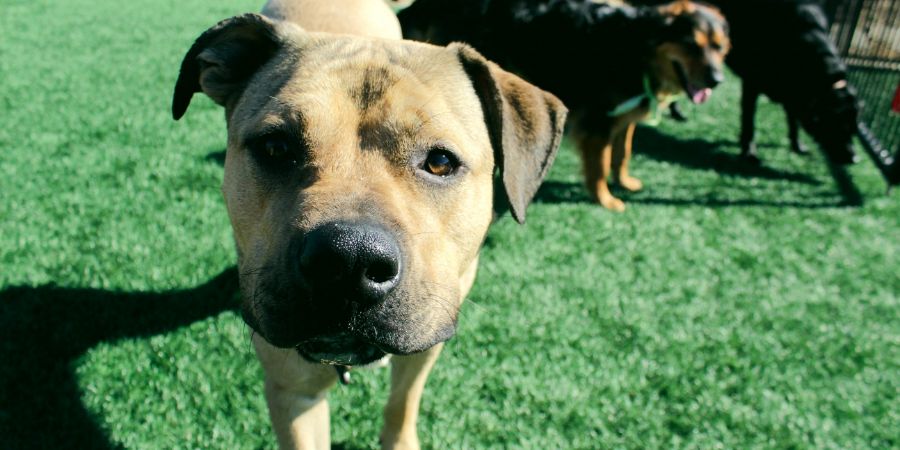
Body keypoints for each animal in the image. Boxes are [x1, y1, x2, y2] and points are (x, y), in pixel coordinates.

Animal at [172, 0, 568, 446]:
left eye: (440, 161)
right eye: (275, 147)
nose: (349, 259)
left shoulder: (425, 343)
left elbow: (403, 402)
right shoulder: (293, 391)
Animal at [400, 0, 732, 211]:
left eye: (719, 47)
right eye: (692, 45)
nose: (717, 80)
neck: (637, 45)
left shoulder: (625, 113)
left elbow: (622, 152)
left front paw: (625, 182)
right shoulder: (598, 120)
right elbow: (600, 165)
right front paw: (606, 199)